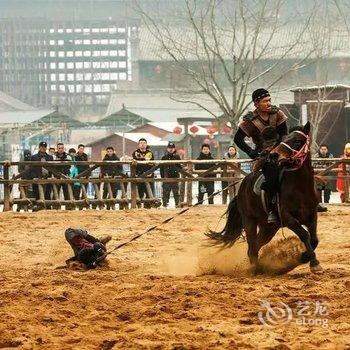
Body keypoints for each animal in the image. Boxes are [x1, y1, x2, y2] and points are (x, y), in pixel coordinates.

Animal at [206, 121, 324, 274]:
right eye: (284, 139)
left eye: (297, 140)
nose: (274, 155)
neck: (301, 187)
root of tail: (242, 187)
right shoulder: (287, 218)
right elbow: (304, 235)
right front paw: (313, 262)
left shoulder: (312, 215)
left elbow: (314, 239)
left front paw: (305, 257)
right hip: (249, 221)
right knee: (252, 248)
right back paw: (255, 269)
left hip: (268, 228)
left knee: (256, 246)